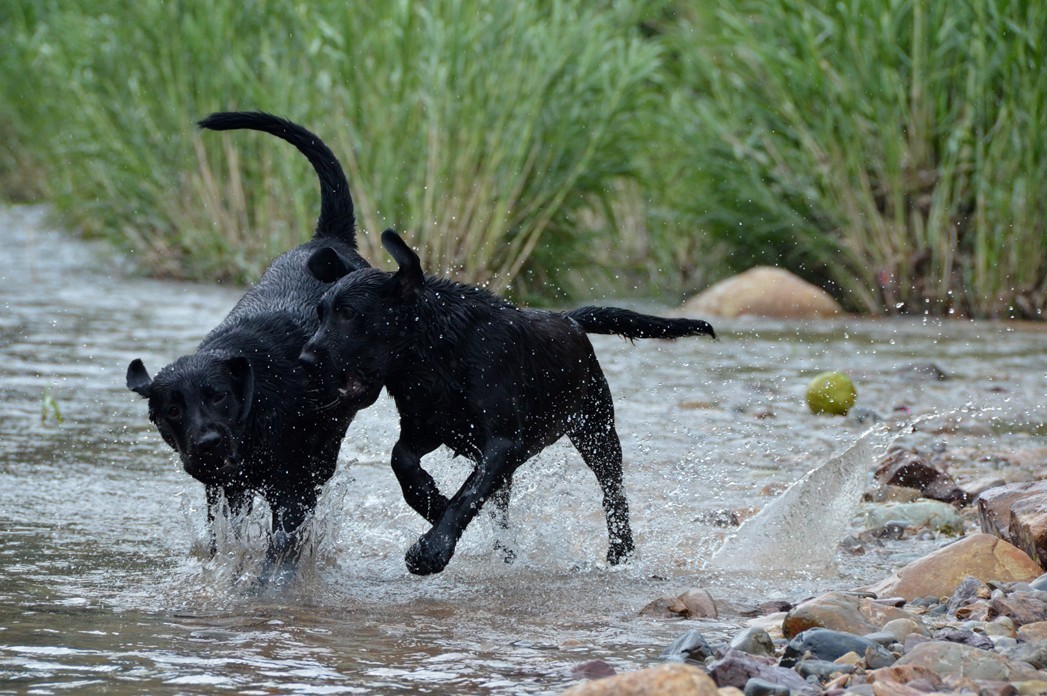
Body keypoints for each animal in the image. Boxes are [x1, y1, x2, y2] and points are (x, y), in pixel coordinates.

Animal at [299, 230, 716, 573]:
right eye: (320, 313)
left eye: (349, 314)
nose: (304, 358)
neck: (437, 353)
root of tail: (570, 319)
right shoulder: (429, 427)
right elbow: (401, 460)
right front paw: (432, 502)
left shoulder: (501, 443)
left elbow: (467, 496)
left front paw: (432, 550)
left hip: (596, 429)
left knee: (614, 493)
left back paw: (620, 553)